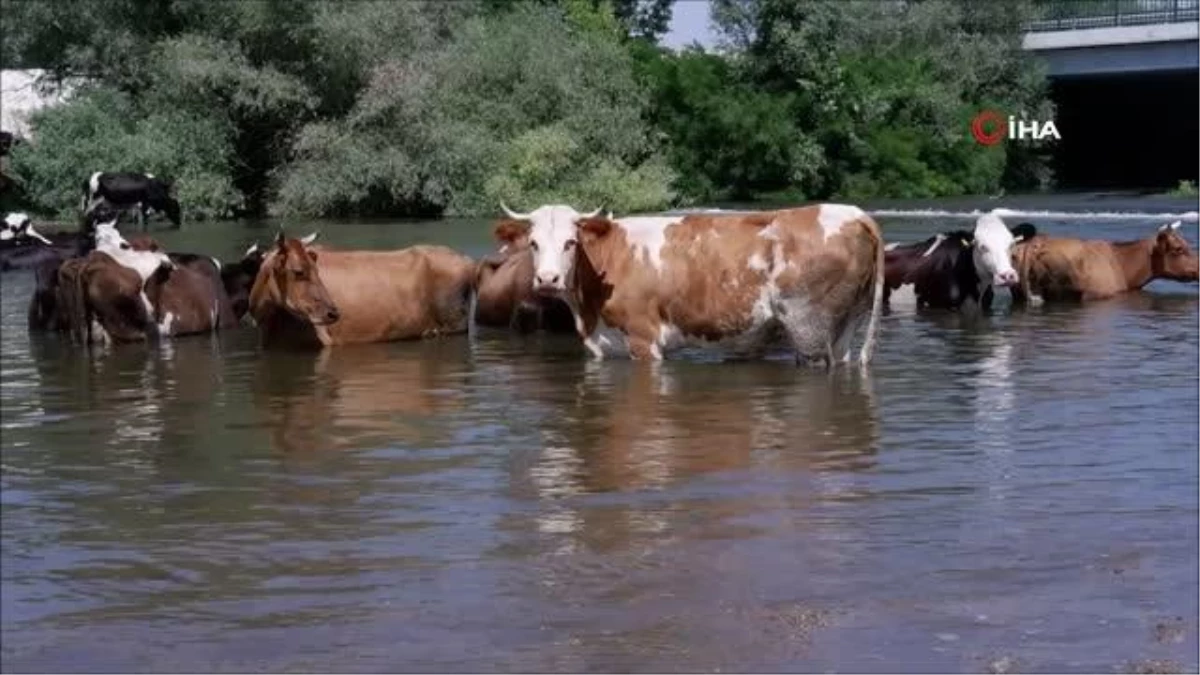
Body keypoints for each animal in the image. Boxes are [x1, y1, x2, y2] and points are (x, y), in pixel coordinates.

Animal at [494, 200, 883, 367]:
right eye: (533, 243)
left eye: (570, 242)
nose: (548, 279)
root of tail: (854, 213)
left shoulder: (643, 339)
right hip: (847, 320)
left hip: (809, 328)